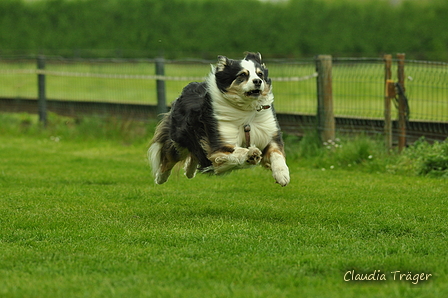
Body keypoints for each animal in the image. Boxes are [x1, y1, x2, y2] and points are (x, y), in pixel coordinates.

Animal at [149, 51, 290, 186]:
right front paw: (251, 154)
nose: (258, 81)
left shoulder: (269, 135)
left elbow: (277, 154)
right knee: (170, 157)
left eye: (260, 74)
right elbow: (238, 151)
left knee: (195, 153)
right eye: (242, 75)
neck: (246, 109)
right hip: (180, 139)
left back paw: (189, 172)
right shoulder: (220, 143)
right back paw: (160, 178)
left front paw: (282, 175)